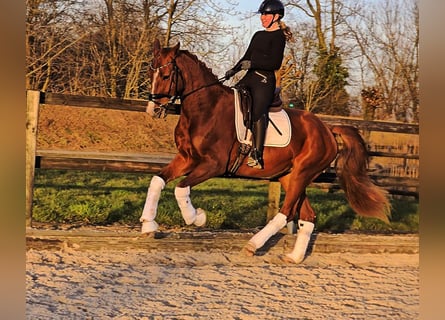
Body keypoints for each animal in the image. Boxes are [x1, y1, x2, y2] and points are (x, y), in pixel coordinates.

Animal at [140, 39, 388, 262]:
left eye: (165, 76)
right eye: (150, 73)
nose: (153, 110)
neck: (205, 109)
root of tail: (327, 128)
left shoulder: (213, 165)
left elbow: (181, 189)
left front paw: (197, 218)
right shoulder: (187, 158)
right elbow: (158, 180)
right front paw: (148, 224)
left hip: (302, 174)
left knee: (286, 212)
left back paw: (253, 245)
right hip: (290, 176)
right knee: (308, 215)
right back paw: (295, 257)